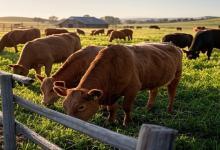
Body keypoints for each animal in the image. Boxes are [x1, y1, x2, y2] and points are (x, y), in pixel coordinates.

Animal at [53, 42, 182, 125]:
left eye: (81, 107)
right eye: (64, 106)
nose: (67, 123)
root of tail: (174, 46)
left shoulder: (133, 89)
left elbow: (126, 107)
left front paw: (127, 122)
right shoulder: (111, 93)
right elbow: (111, 108)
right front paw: (110, 121)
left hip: (176, 76)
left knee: (172, 93)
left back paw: (169, 110)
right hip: (153, 79)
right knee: (153, 91)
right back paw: (148, 108)